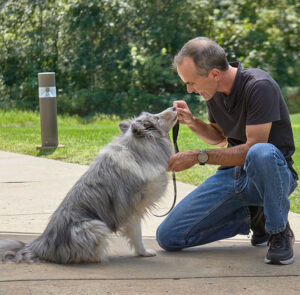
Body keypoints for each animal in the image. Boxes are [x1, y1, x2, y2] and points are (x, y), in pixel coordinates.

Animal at [0, 107, 177, 264]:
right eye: (157, 117)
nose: (175, 107)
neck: (138, 151)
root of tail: (39, 245)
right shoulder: (132, 209)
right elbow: (137, 234)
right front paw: (144, 252)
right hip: (96, 226)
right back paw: (100, 257)